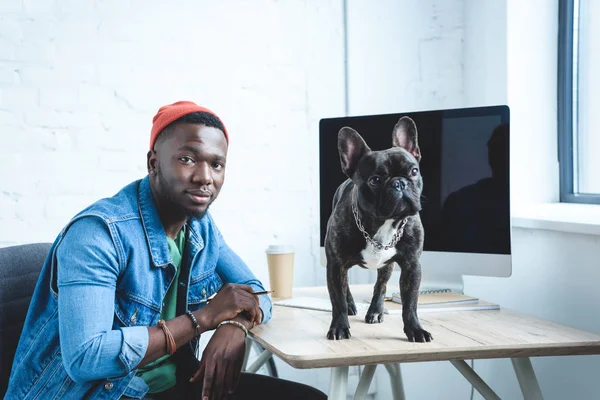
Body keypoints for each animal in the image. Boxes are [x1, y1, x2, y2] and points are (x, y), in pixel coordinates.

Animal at [326, 117, 434, 342]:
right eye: (375, 180)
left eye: (414, 171)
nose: (399, 183)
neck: (384, 224)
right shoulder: (335, 265)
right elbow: (337, 300)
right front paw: (339, 327)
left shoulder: (411, 266)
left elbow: (410, 303)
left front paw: (415, 329)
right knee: (345, 287)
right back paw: (351, 305)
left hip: (387, 266)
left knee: (380, 285)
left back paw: (375, 310)